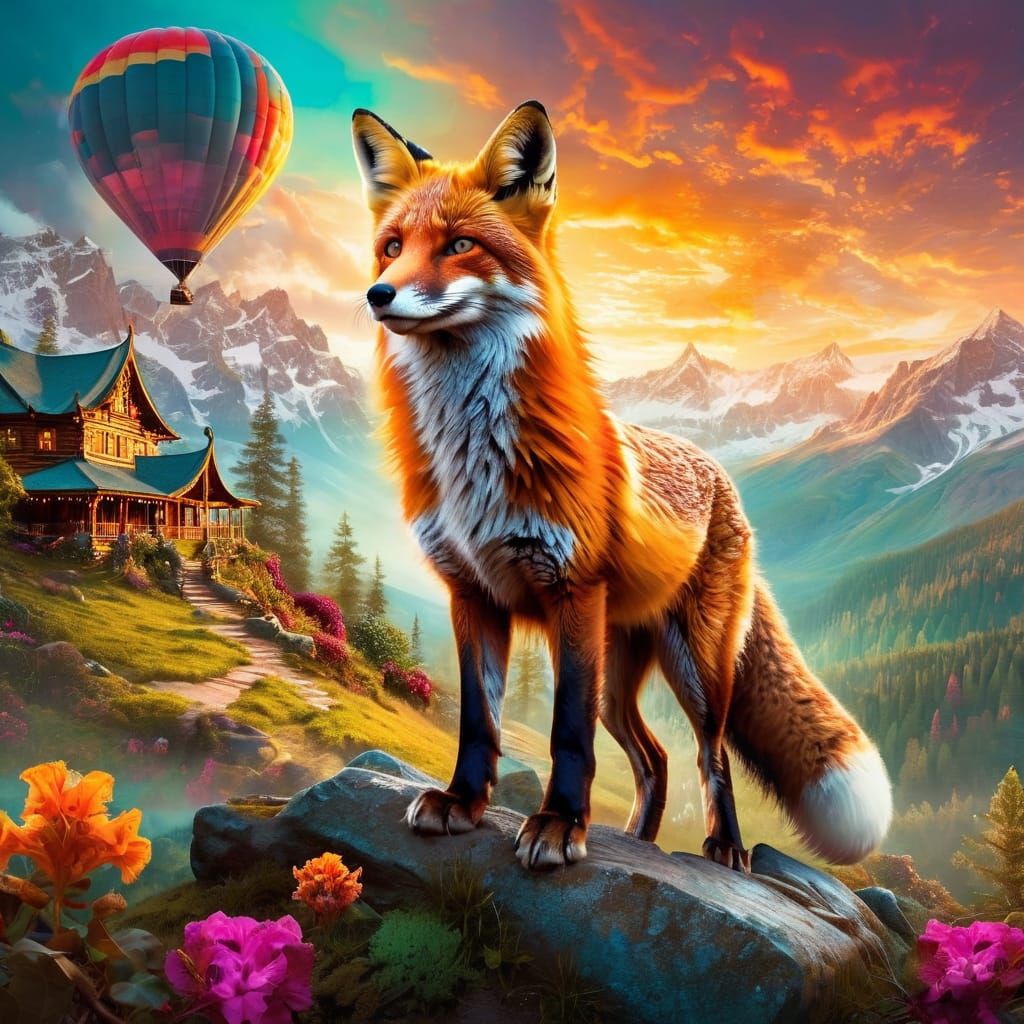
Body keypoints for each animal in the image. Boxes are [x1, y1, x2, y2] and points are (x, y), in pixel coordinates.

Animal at [351, 100, 893, 872]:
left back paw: (724, 847)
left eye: (459, 245)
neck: (472, 460)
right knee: (654, 757)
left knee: (708, 756)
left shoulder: (571, 589)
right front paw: (463, 803)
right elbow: (480, 722)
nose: (378, 293)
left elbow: (566, 737)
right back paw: (637, 841)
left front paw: (558, 825)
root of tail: (722, 478)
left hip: (692, 667)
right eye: (392, 246)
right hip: (616, 671)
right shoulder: (472, 592)